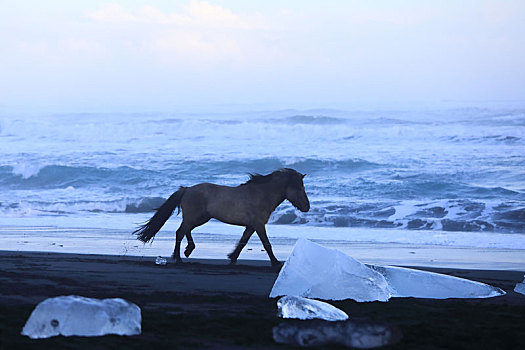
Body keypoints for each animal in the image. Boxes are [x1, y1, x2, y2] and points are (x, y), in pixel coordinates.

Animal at [133, 169, 310, 266]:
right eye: (299, 188)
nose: (307, 207)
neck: (261, 195)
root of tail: (187, 189)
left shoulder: (251, 226)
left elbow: (242, 242)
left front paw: (232, 258)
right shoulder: (259, 225)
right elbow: (267, 244)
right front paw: (276, 263)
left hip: (200, 218)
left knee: (185, 231)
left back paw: (188, 250)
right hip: (195, 218)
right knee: (180, 232)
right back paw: (179, 257)